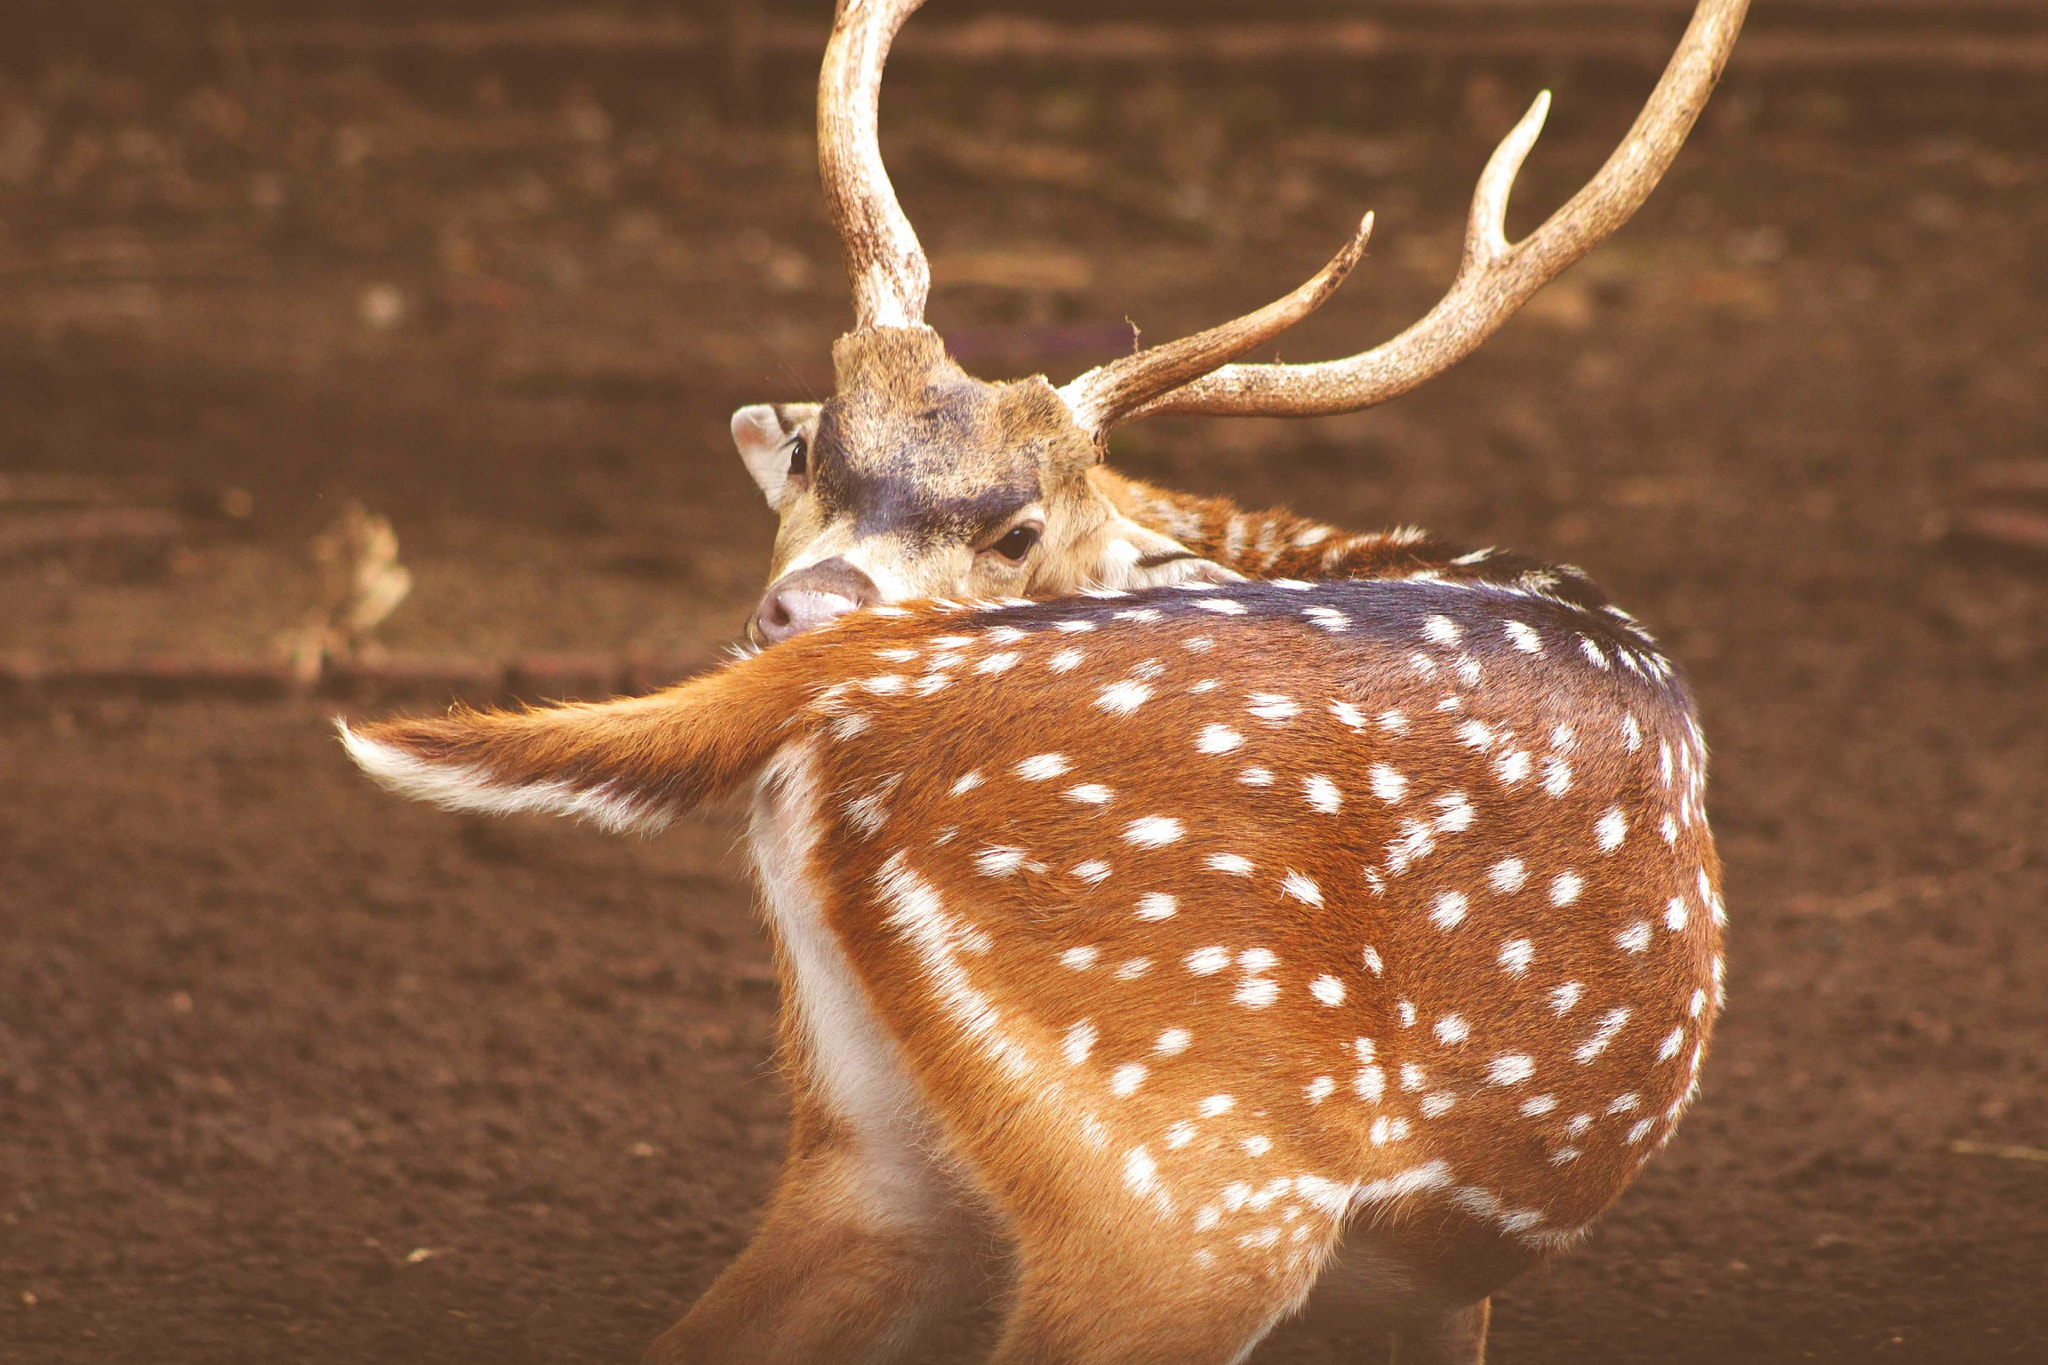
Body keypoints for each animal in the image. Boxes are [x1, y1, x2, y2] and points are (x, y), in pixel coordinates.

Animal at [340, 1, 1747, 1361]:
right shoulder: (1437, 1279)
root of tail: (846, 680)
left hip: (876, 1150)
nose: (805, 606)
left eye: (1017, 531)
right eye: (809, 449)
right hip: (1203, 1157)